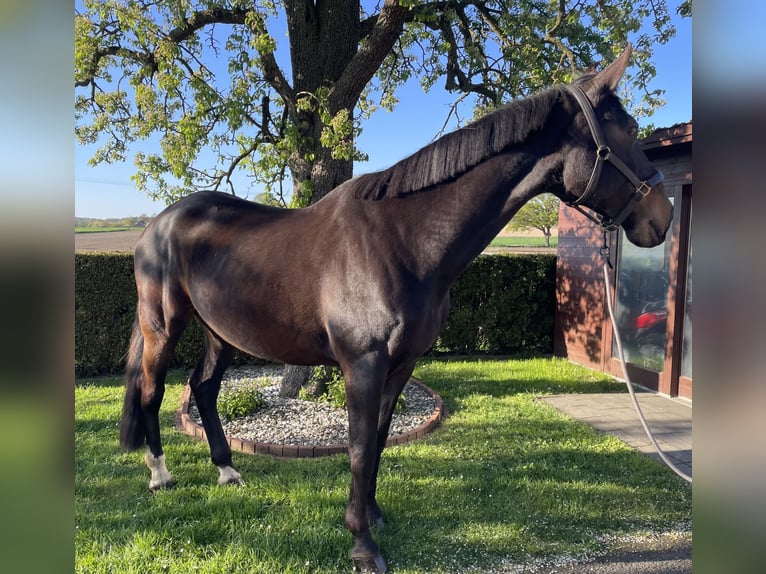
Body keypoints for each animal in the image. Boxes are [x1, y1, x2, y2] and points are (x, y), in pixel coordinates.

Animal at [119, 45, 672, 573]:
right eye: (628, 130)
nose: (661, 218)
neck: (403, 241)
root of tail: (157, 225)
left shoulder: (402, 364)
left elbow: (381, 439)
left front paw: (374, 514)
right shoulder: (363, 364)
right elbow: (361, 448)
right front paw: (363, 545)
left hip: (220, 332)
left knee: (204, 389)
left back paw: (228, 470)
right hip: (163, 326)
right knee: (151, 390)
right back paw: (160, 475)